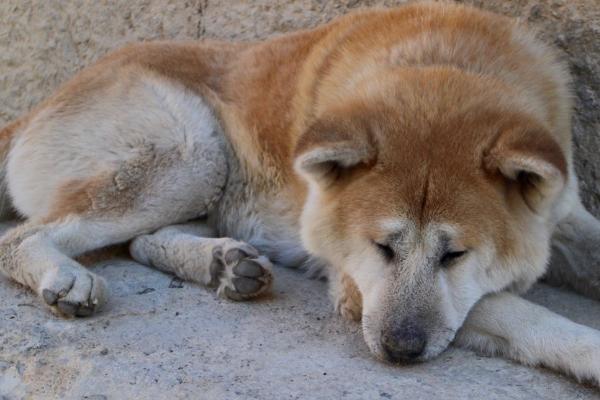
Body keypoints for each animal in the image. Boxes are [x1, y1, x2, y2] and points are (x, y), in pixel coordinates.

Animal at [1, 0, 600, 386]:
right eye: (382, 249)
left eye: (454, 255)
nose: (399, 352)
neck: (445, 61)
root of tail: (42, 103)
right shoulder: (357, 289)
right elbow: (523, 315)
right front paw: (587, 354)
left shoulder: (563, 215)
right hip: (192, 153)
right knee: (22, 237)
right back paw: (66, 276)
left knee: (142, 241)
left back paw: (225, 263)